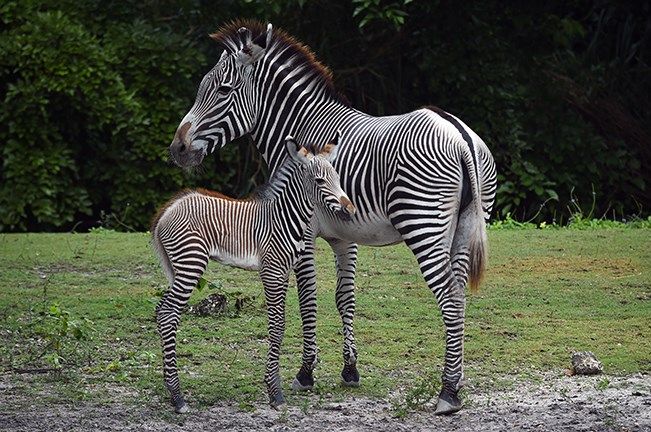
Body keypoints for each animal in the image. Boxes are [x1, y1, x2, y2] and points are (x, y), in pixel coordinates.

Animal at [152, 134, 356, 412]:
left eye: (337, 178)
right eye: (319, 181)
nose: (351, 211)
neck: (284, 217)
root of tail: (168, 210)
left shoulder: (284, 271)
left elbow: (280, 323)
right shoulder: (271, 270)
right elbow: (278, 325)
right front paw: (275, 392)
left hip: (179, 266)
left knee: (164, 311)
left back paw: (171, 390)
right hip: (190, 263)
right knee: (167, 313)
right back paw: (178, 397)